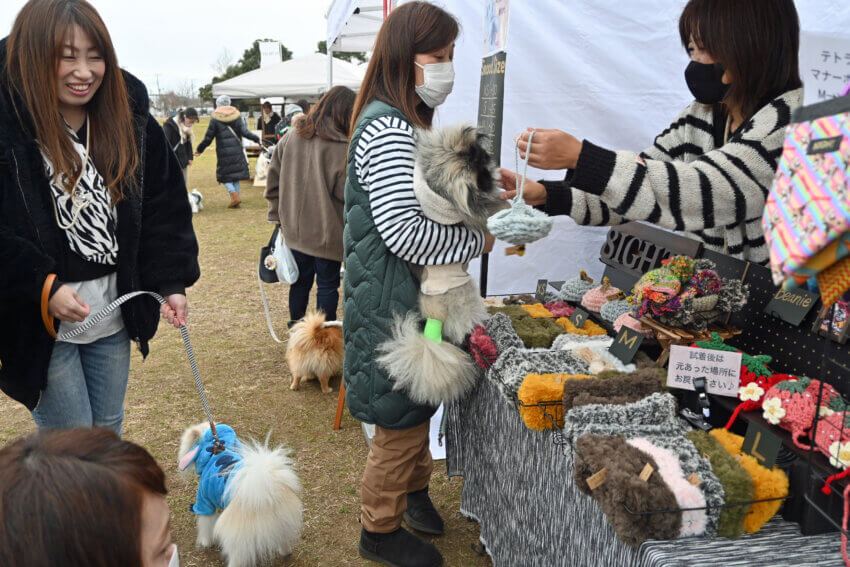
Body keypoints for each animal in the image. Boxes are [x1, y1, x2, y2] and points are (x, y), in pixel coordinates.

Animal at [177, 422, 304, 567]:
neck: (214, 451)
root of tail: (265, 497)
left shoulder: (204, 502)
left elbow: (205, 524)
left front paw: (205, 542)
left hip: (238, 542)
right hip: (282, 524)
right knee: (283, 540)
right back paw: (285, 552)